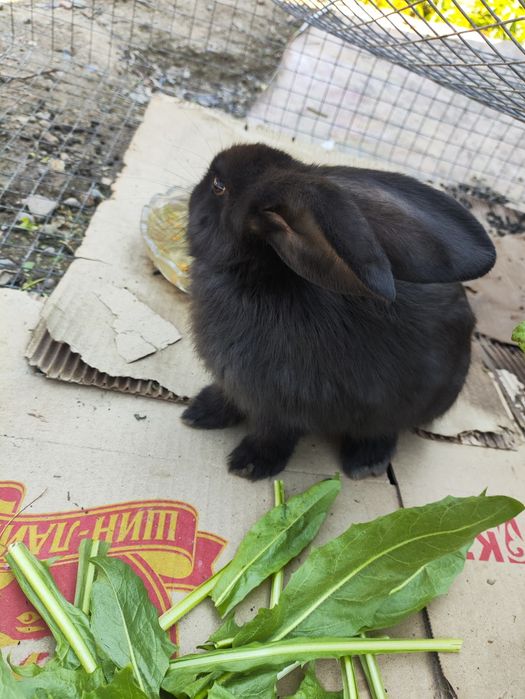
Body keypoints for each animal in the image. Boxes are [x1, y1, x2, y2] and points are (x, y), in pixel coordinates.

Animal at [181, 143, 496, 480]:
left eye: (218, 186)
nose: (194, 192)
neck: (255, 274)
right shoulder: (232, 384)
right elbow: (226, 399)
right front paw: (198, 412)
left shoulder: (282, 406)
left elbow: (274, 434)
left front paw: (249, 464)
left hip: (400, 408)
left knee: (387, 430)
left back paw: (365, 462)